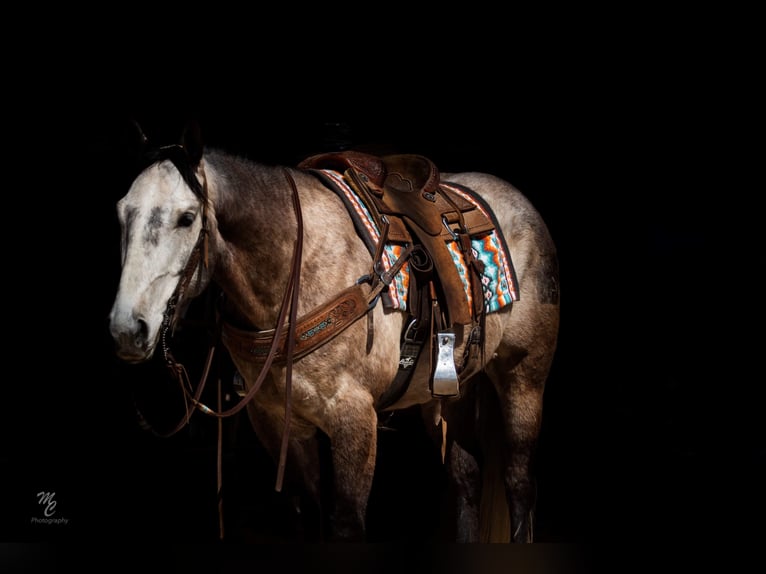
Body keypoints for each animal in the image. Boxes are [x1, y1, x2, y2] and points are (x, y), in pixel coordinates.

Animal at [108, 121, 560, 544]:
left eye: (186, 218)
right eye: (122, 213)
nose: (127, 329)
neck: (296, 268)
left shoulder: (354, 419)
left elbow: (346, 525)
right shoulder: (277, 422)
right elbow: (308, 517)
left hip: (524, 378)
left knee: (520, 483)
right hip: (449, 392)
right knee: (467, 482)